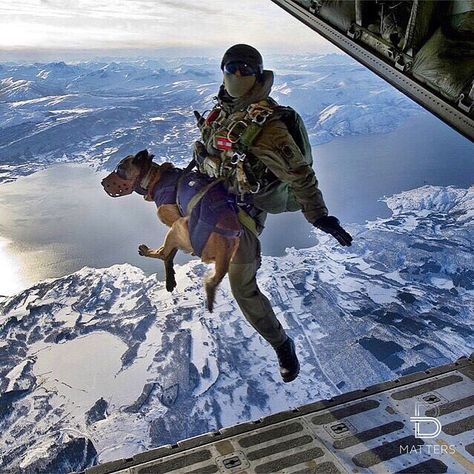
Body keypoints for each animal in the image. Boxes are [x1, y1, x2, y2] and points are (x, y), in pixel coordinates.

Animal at [100, 148, 241, 312]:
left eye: (119, 168)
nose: (102, 182)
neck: (156, 179)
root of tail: (226, 246)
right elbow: (171, 254)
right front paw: (171, 278)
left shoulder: (174, 222)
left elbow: (168, 254)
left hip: (177, 227)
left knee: (162, 253)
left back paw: (147, 252)